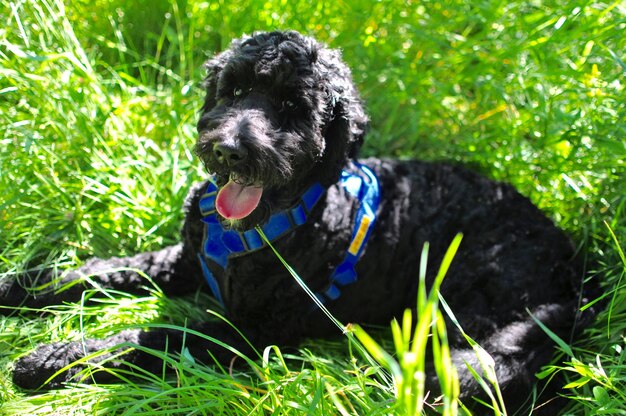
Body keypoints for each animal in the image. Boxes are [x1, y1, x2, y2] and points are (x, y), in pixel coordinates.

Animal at [0, 30, 592, 412]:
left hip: (458, 310)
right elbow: (96, 270)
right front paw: (19, 286)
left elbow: (151, 338)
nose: (231, 150)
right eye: (236, 90)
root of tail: (571, 263)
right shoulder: (181, 261)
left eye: (292, 107)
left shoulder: (250, 331)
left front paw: (56, 359)